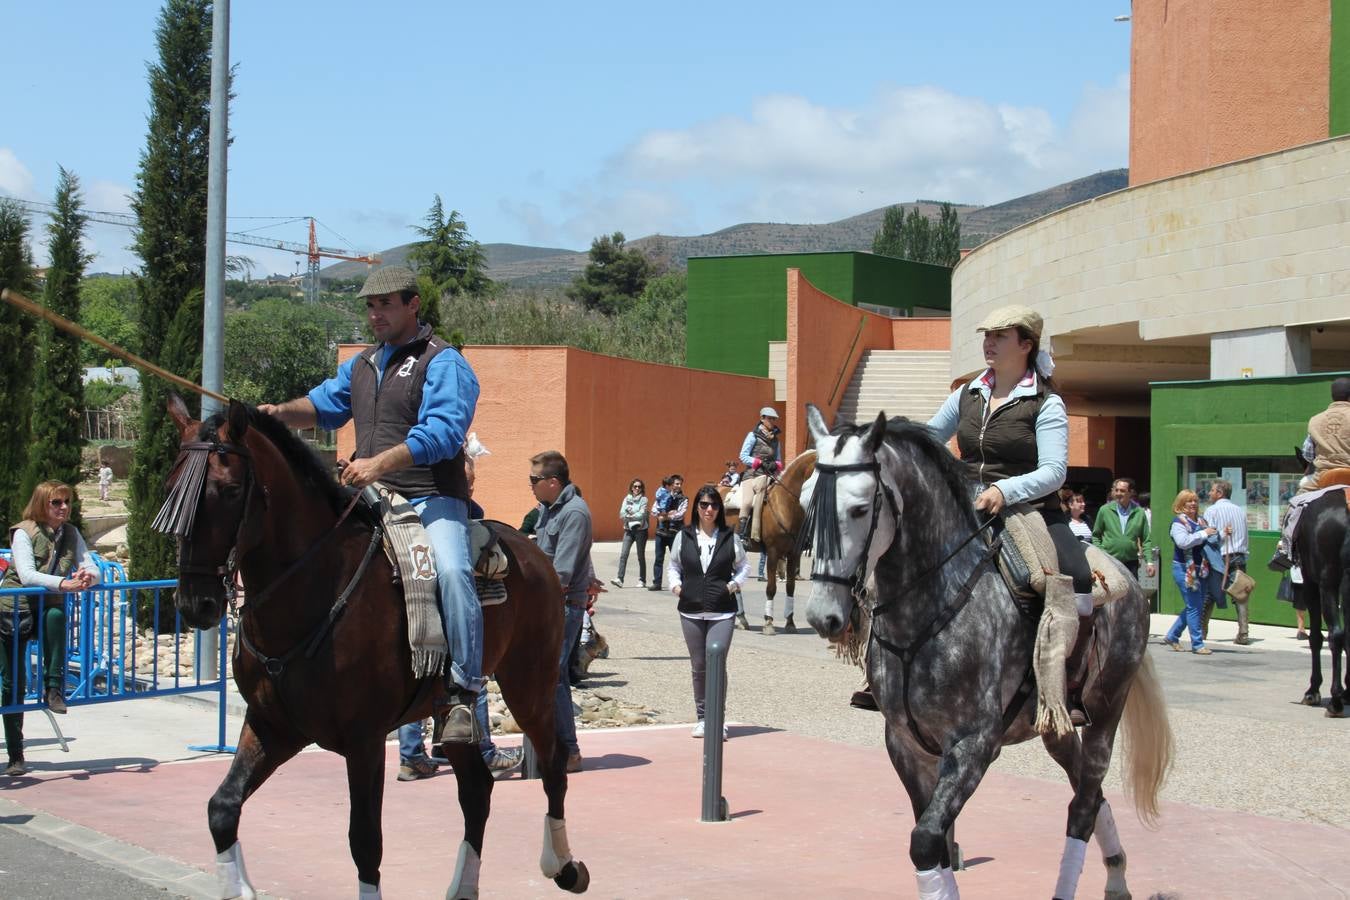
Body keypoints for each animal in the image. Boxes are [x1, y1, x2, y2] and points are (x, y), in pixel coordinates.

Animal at [799, 407, 1171, 900]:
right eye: (807, 503)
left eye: (860, 509)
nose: (823, 616)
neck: (929, 607)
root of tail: (1123, 574)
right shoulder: (906, 745)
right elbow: (935, 845)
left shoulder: (974, 744)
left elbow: (925, 840)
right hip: (1055, 722)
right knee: (1087, 793)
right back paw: (1116, 875)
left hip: (1107, 711)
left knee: (1083, 804)